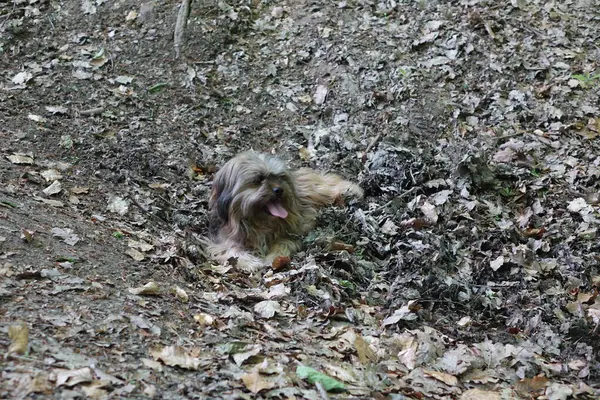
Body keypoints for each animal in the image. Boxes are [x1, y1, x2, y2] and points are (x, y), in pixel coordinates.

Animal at [209, 152, 364, 270]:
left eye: (279, 177)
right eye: (258, 179)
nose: (279, 190)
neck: (260, 222)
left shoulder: (293, 232)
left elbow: (283, 242)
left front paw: (273, 257)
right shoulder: (225, 238)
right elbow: (230, 250)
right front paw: (250, 262)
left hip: (317, 190)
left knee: (330, 182)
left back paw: (351, 189)